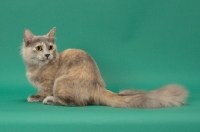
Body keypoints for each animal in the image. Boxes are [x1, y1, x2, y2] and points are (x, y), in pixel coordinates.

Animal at [21, 27, 188, 108]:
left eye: (50, 47)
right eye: (39, 48)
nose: (47, 55)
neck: (35, 67)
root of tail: (97, 85)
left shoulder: (48, 83)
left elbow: (42, 92)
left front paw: (35, 97)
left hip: (60, 82)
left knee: (77, 103)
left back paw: (50, 100)